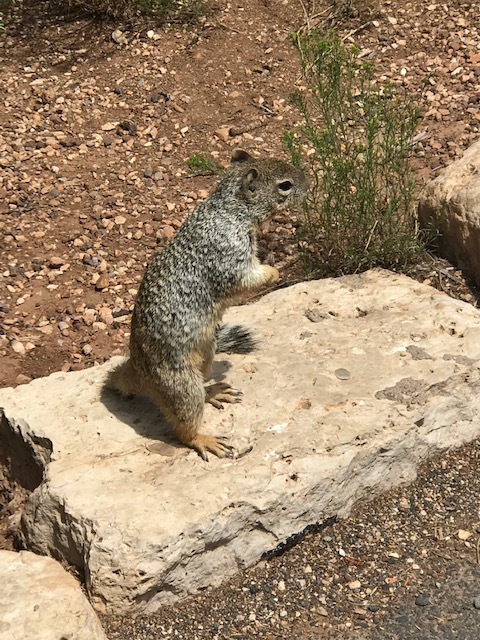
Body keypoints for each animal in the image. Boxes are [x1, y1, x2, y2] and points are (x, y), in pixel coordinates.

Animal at [105, 149, 308, 460]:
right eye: (285, 185)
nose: (309, 183)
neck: (229, 208)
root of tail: (138, 372)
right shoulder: (227, 255)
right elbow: (243, 280)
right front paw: (277, 268)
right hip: (180, 385)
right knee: (184, 424)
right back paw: (205, 439)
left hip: (207, 355)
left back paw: (214, 392)